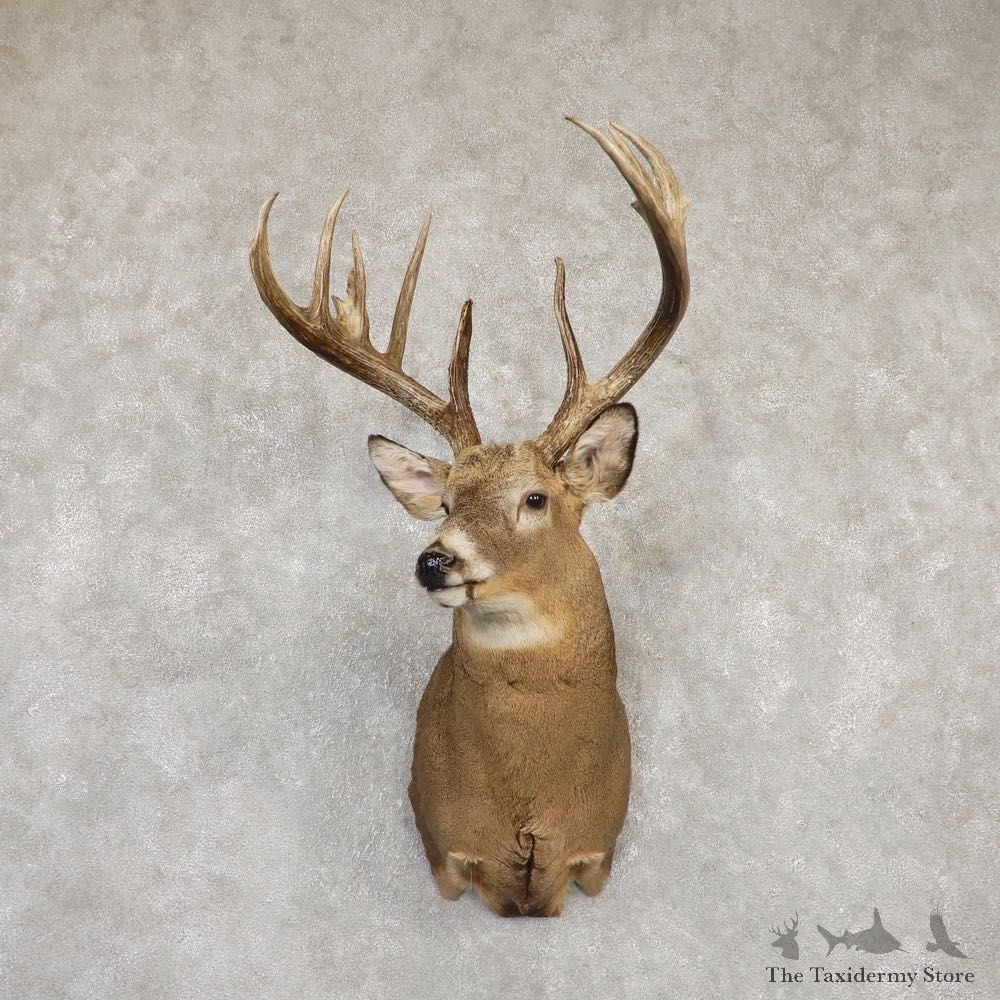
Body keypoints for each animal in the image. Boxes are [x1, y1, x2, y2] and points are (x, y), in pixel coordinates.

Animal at [249, 117, 690, 917]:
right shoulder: (445, 850)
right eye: (449, 501)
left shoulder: (596, 852)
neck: (529, 802)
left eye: (536, 498)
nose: (435, 560)